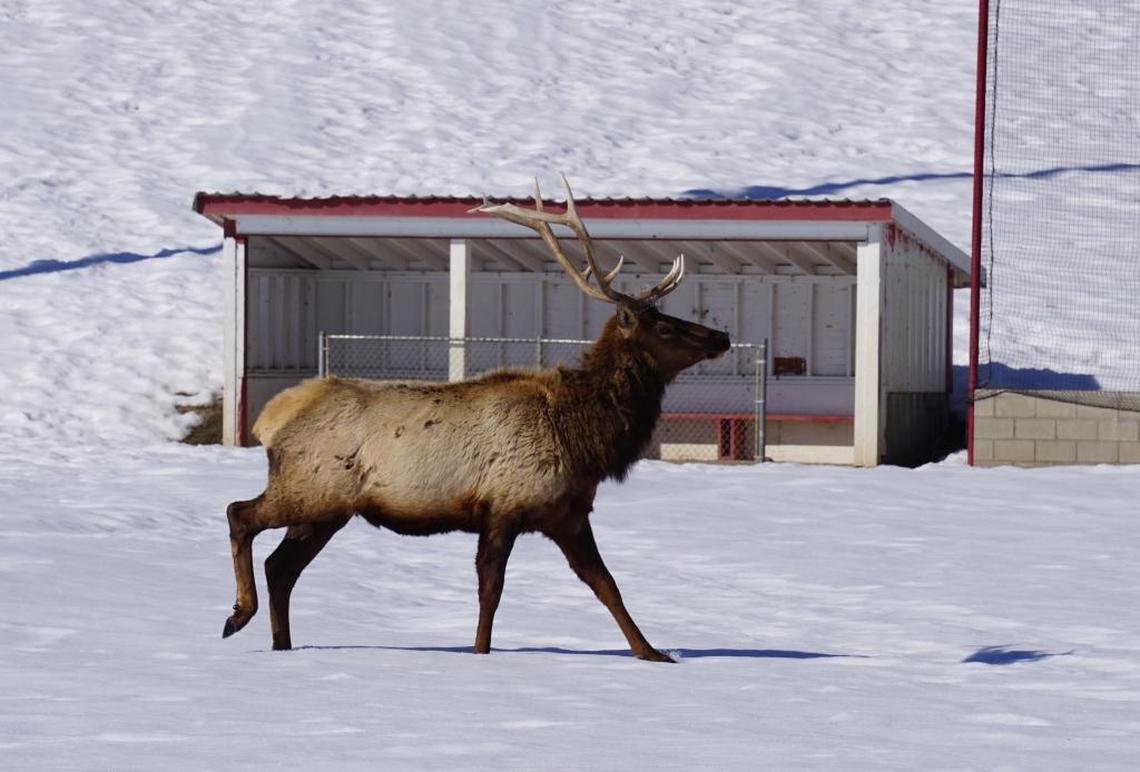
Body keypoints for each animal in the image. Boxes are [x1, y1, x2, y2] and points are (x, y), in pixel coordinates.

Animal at [221, 175, 731, 661]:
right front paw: (481, 654)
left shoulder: (566, 514)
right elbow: (491, 590)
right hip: (311, 489)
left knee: (281, 567)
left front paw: (653, 653)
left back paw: (281, 645)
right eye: (663, 326)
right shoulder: (504, 506)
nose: (722, 336)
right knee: (240, 514)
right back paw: (239, 614)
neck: (582, 439)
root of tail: (270, 419)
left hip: (326, 510)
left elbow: (607, 584)